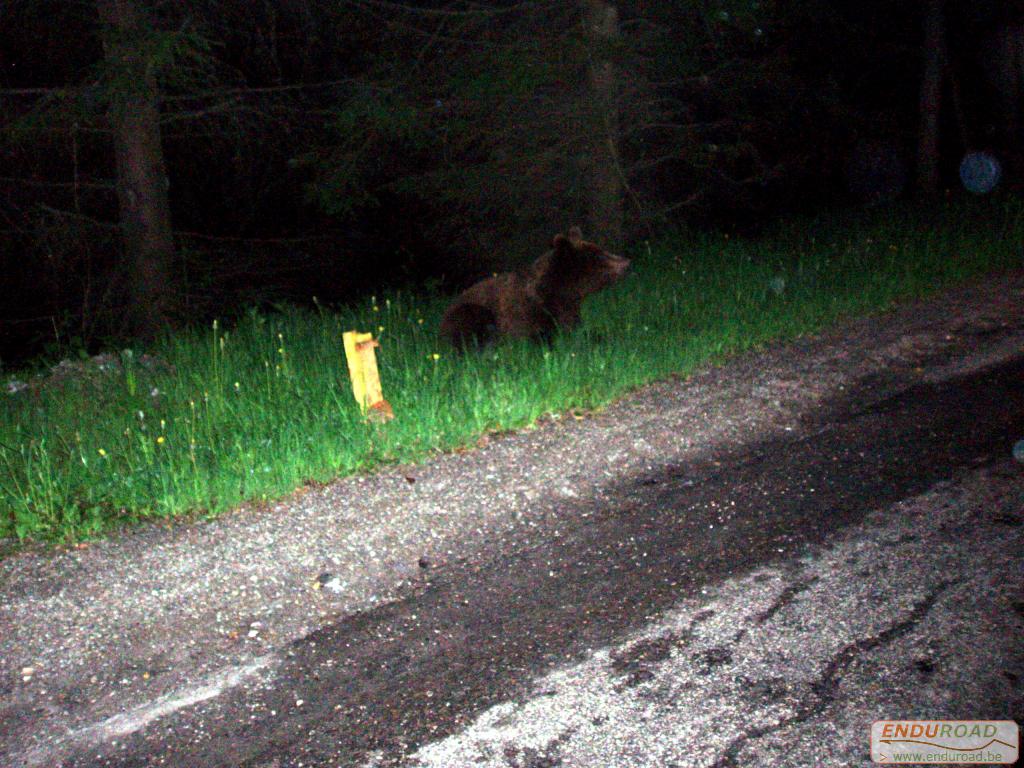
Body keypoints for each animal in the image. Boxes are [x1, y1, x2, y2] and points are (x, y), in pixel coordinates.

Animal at [442, 227, 630, 348]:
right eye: (599, 255)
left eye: (601, 250)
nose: (626, 262)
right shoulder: (526, 311)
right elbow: (539, 335)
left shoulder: (569, 310)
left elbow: (579, 329)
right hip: (468, 311)